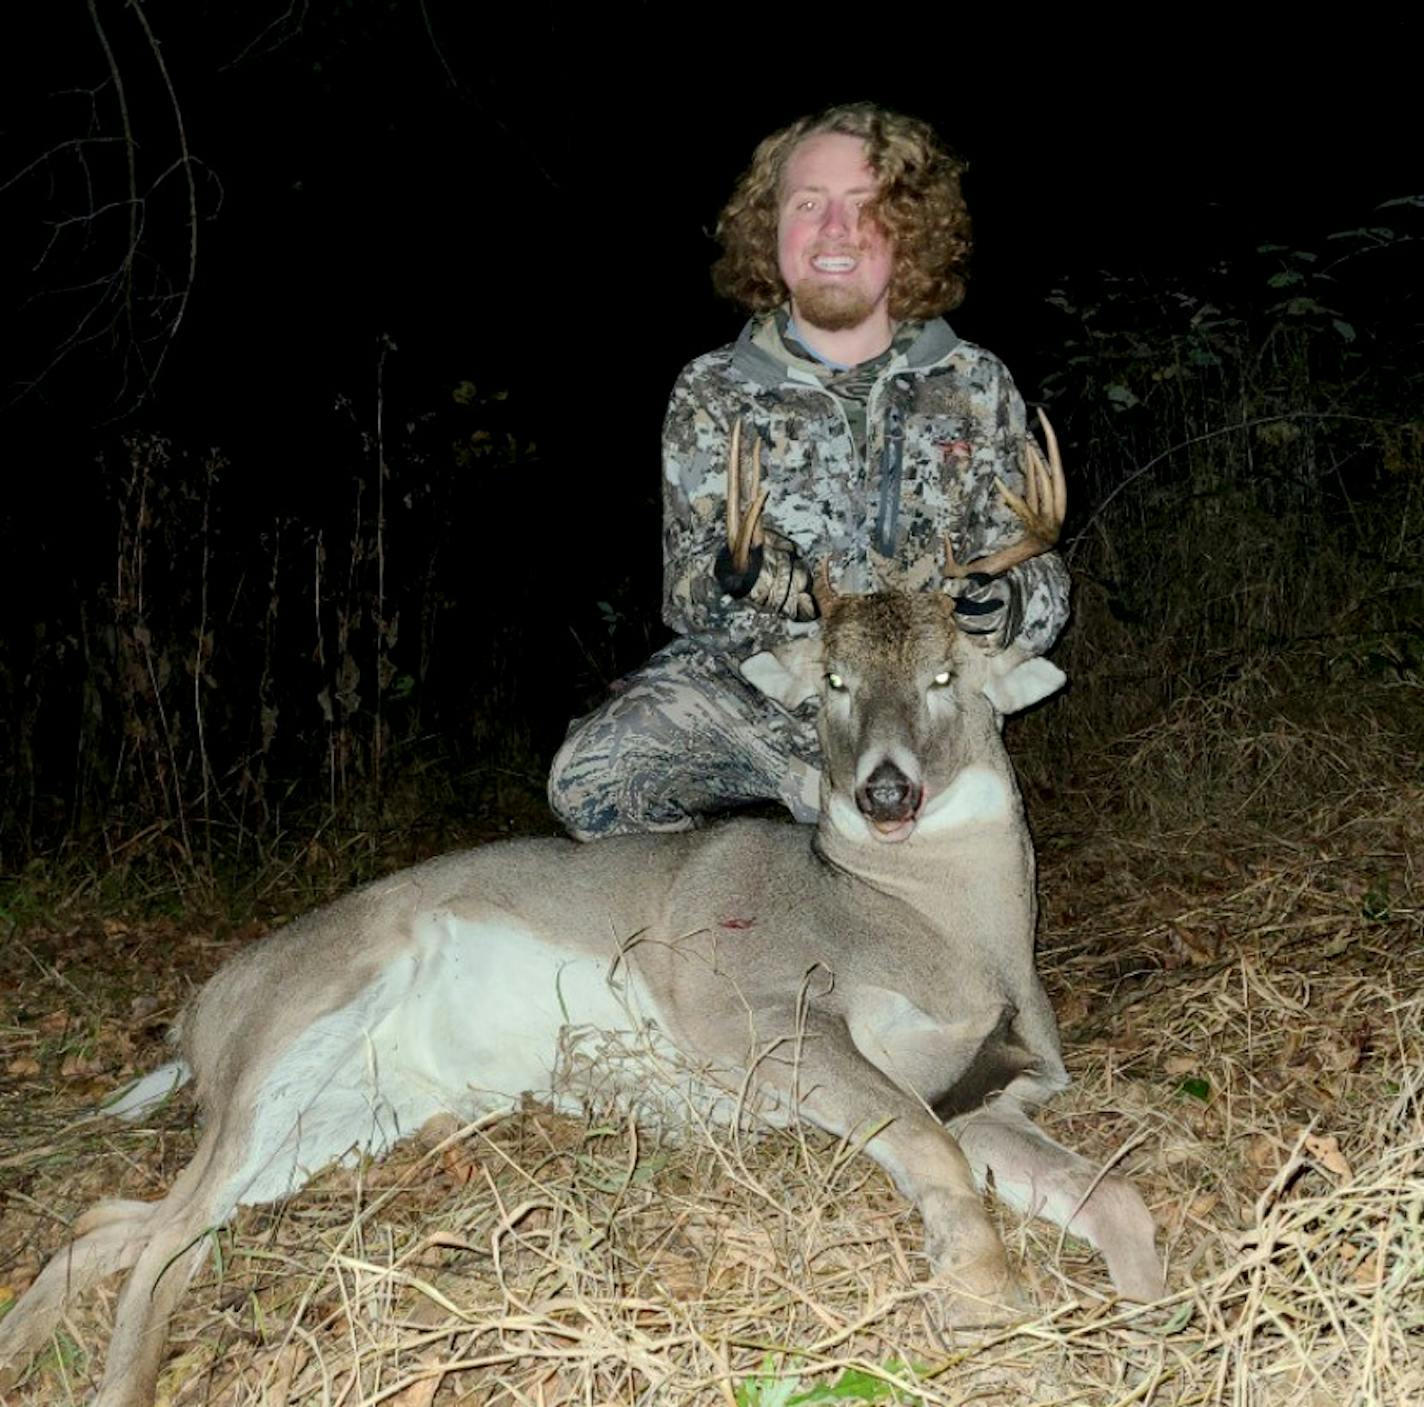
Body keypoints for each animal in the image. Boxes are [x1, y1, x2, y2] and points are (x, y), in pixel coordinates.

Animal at [0, 412, 1167, 1401]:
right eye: (830, 685)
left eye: (943, 675)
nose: (885, 793)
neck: (944, 933)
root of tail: (197, 1015)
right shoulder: (753, 1004)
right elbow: (923, 1147)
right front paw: (981, 1292)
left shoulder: (994, 1087)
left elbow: (1112, 1195)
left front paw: (1149, 1315)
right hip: (306, 1019)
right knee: (159, 1232)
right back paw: (109, 1379)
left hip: (346, 1116)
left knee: (125, 1216)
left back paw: (23, 1336)